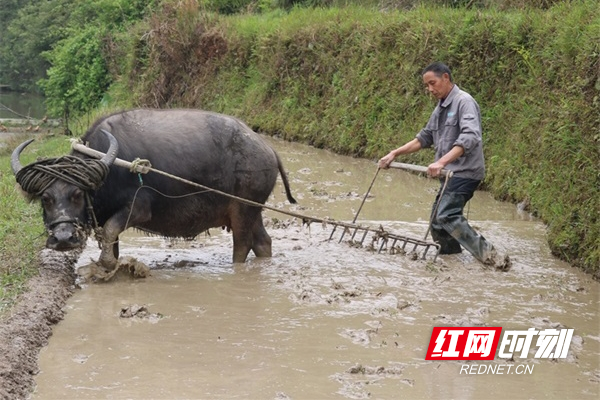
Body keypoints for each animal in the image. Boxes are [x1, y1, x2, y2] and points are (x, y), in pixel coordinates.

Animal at [10, 108, 296, 270]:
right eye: (45, 198)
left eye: (78, 194)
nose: (63, 239)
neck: (108, 170)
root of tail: (267, 149)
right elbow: (111, 239)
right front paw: (108, 267)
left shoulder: (139, 209)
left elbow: (112, 229)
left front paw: (108, 264)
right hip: (253, 210)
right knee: (263, 242)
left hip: (243, 208)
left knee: (243, 244)